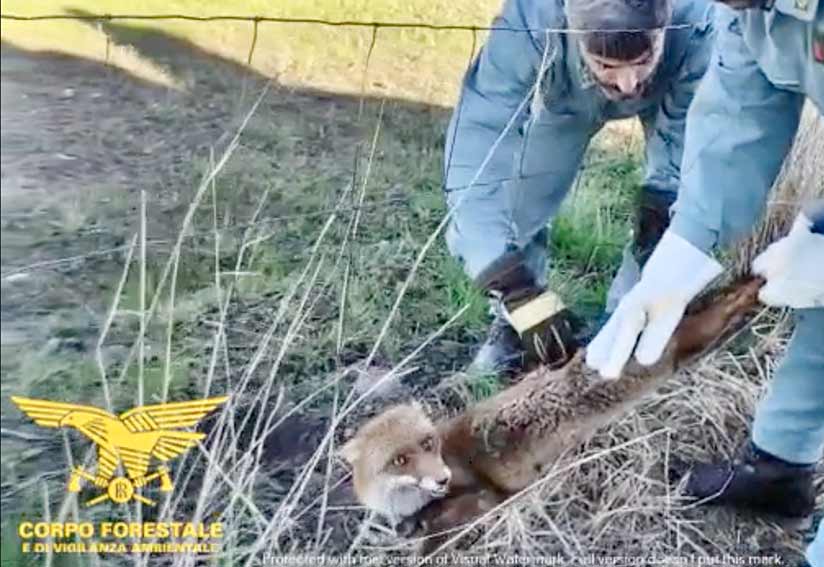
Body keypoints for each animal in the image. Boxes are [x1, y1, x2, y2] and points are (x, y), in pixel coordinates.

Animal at [338, 276, 764, 556]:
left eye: (428, 444)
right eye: (400, 459)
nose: (439, 478)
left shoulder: (486, 496)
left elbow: (438, 530)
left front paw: (421, 542)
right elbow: (414, 525)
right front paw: (403, 529)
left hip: (682, 346)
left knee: (723, 308)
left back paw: (757, 285)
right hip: (685, 351)